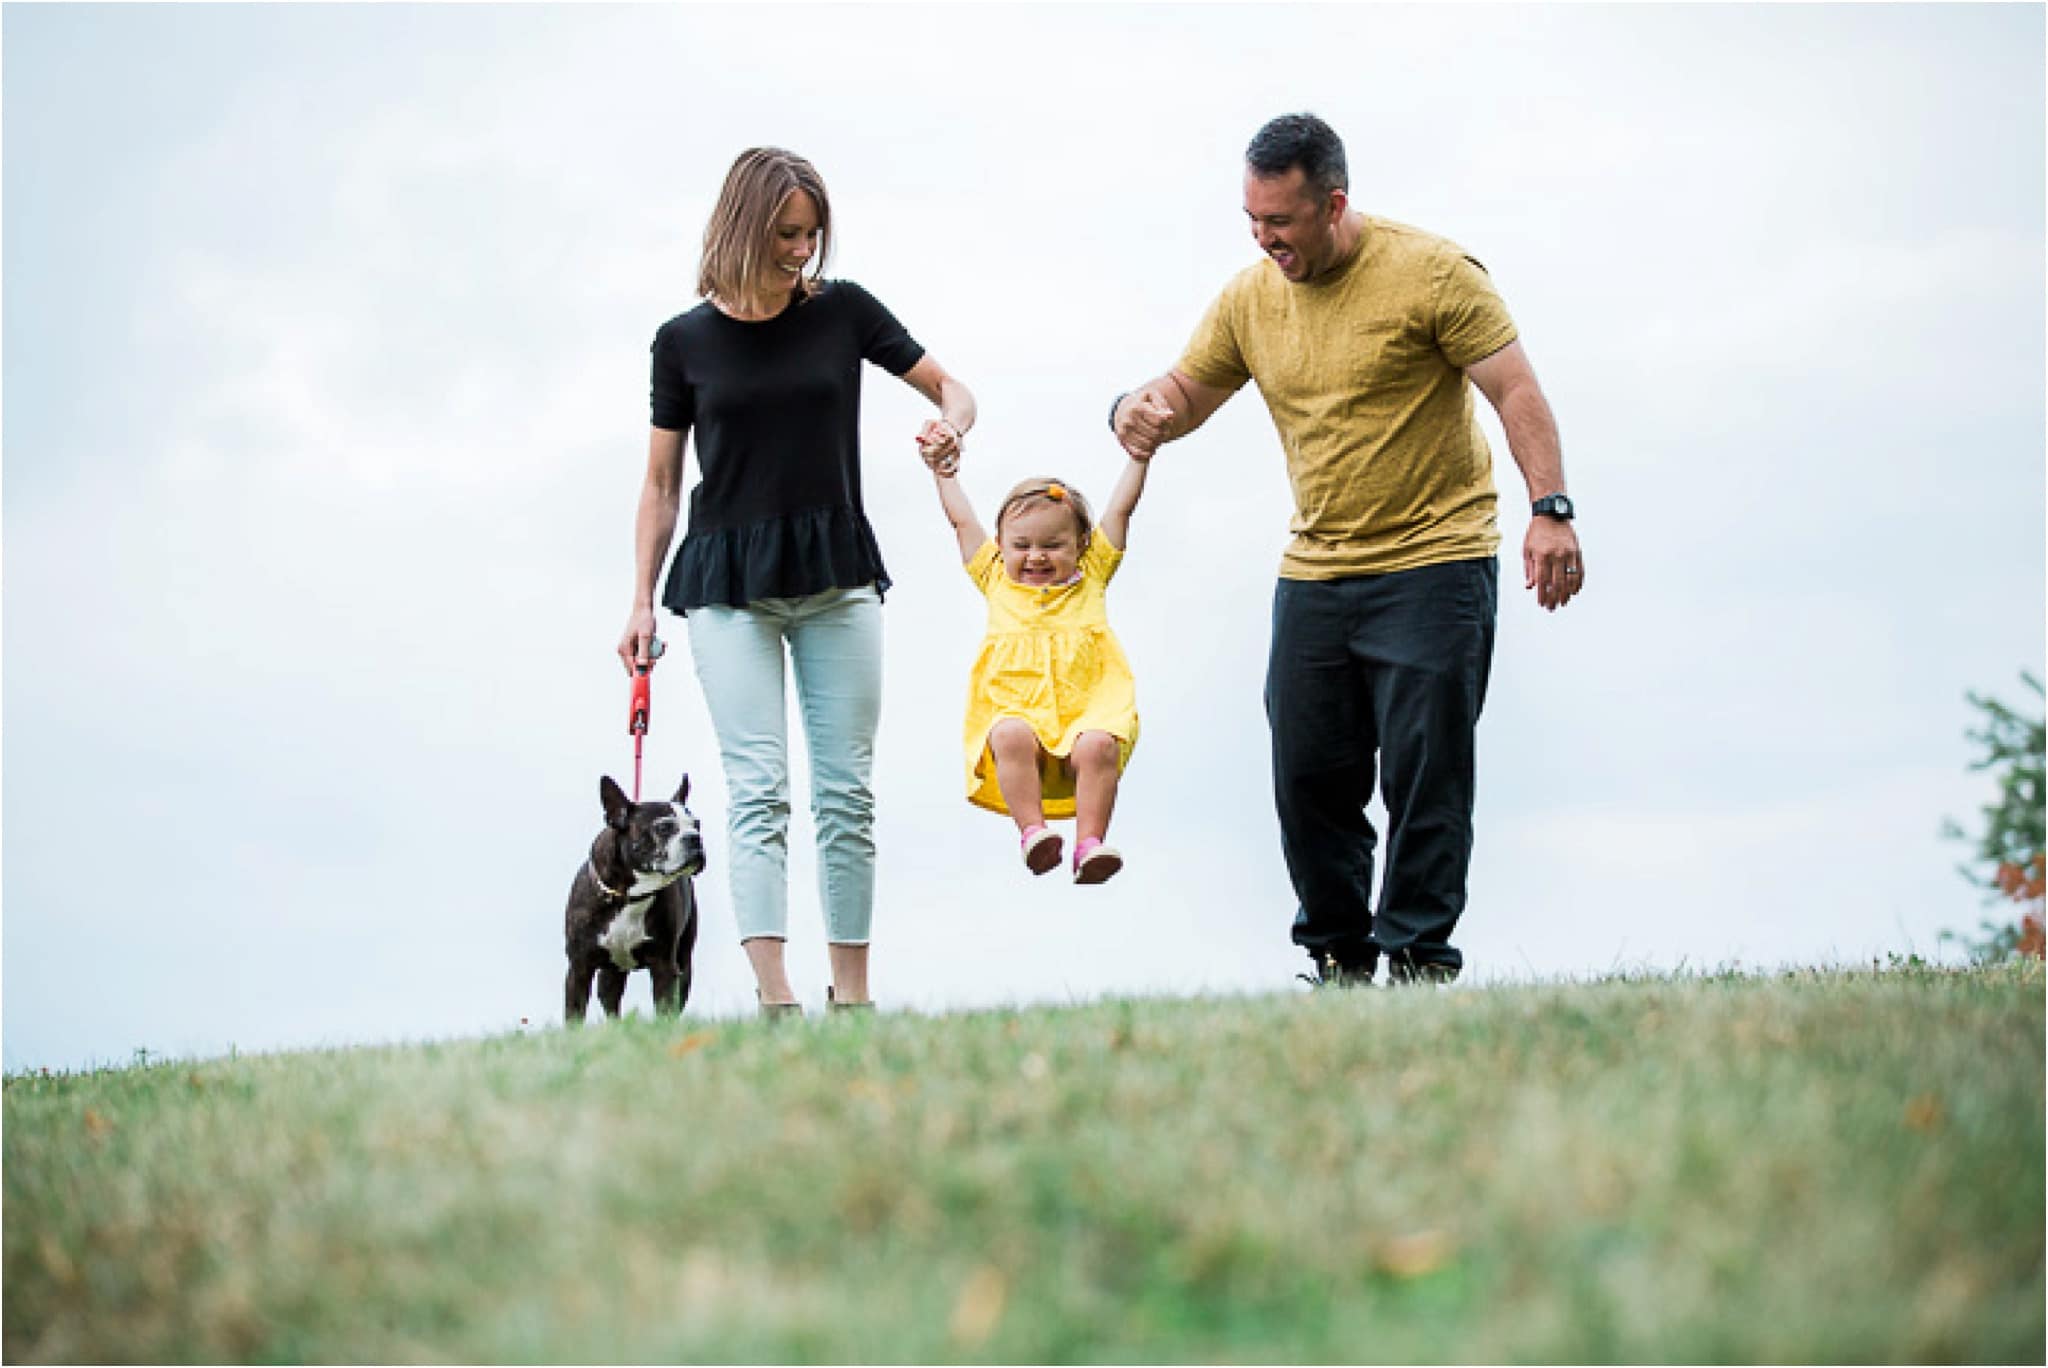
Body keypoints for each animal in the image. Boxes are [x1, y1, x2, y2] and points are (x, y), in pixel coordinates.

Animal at [565, 774, 708, 1019]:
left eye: (697, 825)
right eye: (664, 827)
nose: (695, 838)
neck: (628, 897)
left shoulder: (664, 967)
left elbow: (665, 1010)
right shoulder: (579, 968)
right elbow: (574, 1014)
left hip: (684, 963)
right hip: (610, 973)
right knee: (610, 999)